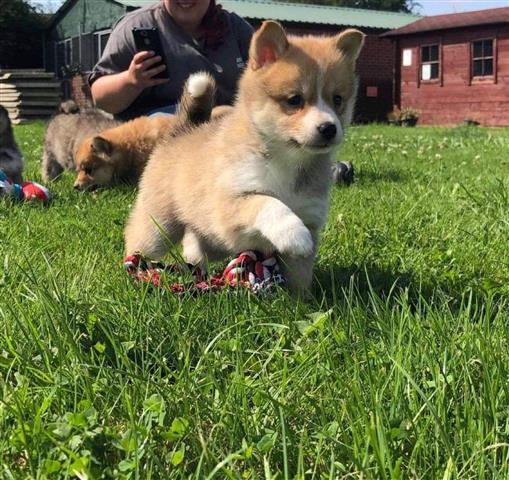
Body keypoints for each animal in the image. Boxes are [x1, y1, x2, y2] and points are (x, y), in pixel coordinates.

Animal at [123, 20, 364, 294]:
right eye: (294, 100)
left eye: (338, 99)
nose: (328, 128)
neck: (289, 160)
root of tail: (181, 131)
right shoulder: (231, 202)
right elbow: (267, 203)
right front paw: (294, 234)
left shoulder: (310, 214)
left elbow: (300, 274)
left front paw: (302, 300)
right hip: (160, 226)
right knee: (138, 240)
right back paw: (134, 271)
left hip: (208, 236)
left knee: (194, 246)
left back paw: (199, 273)